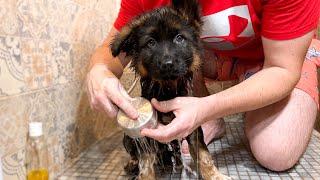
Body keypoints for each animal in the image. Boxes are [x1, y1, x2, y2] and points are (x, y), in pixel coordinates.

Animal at [111, 0, 229, 179]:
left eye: (179, 38)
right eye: (151, 43)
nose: (167, 64)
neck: (167, 90)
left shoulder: (193, 127)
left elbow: (204, 156)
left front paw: (214, 175)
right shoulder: (146, 136)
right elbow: (145, 163)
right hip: (128, 137)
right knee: (134, 153)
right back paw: (133, 163)